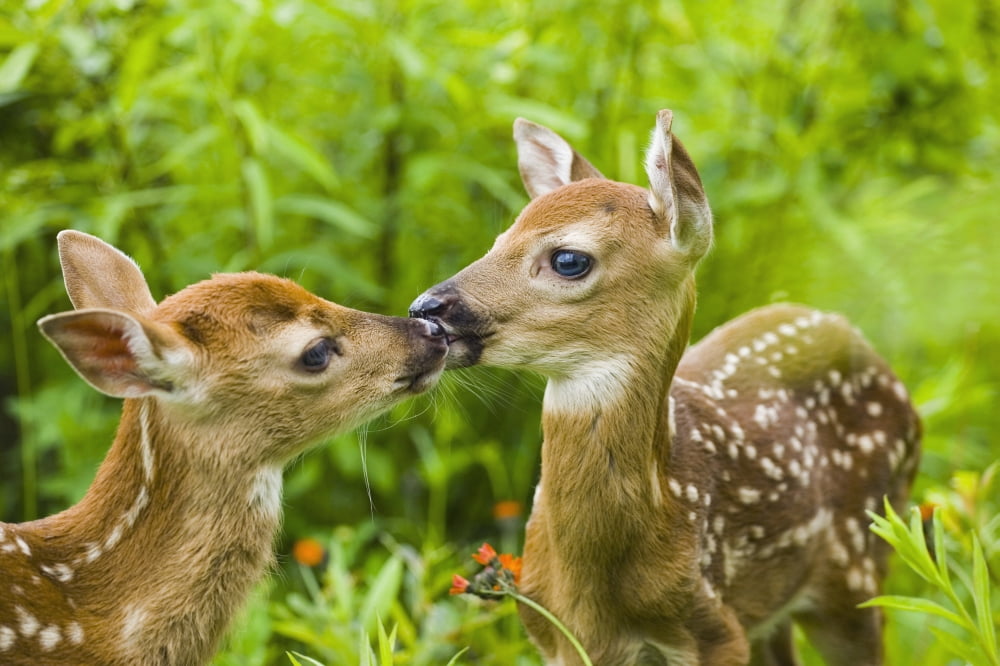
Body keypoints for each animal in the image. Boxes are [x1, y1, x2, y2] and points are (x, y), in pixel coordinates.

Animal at [409, 110, 921, 665]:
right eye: (501, 238)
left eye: (568, 259)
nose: (425, 308)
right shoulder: (555, 636)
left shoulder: (716, 632)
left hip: (859, 564)